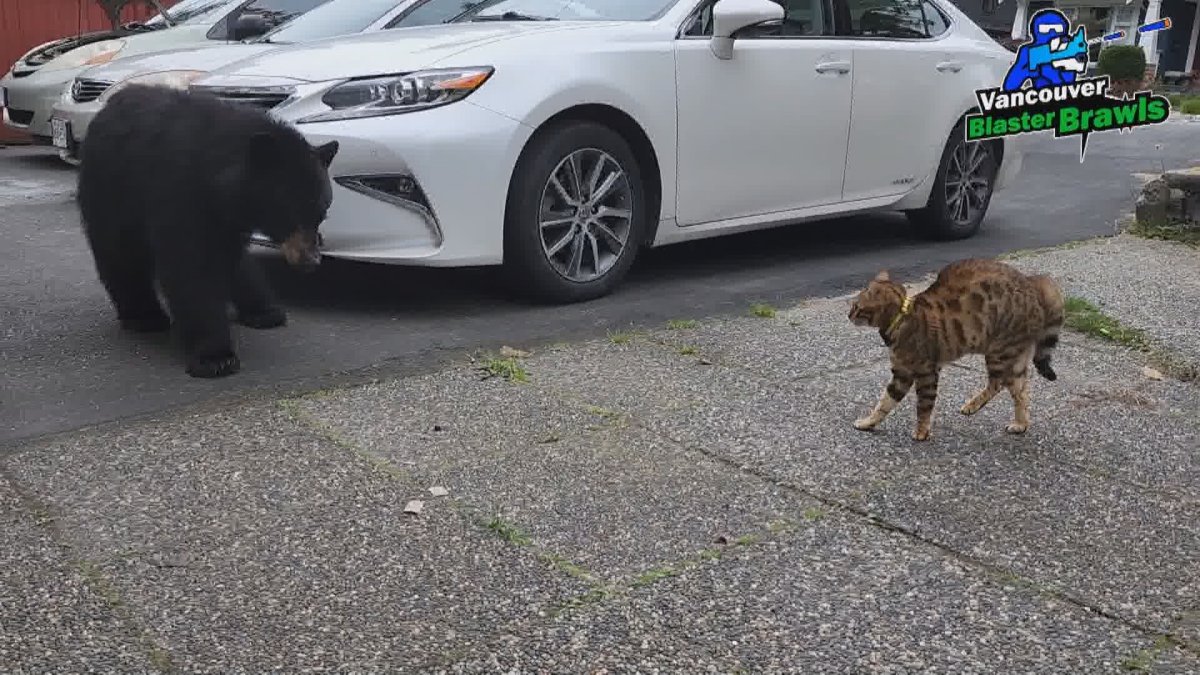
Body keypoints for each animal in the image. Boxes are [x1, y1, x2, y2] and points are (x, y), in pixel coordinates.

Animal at [76, 82, 338, 379]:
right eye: (290, 212)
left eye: (321, 213)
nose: (311, 260)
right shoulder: (179, 192)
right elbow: (191, 268)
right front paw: (215, 357)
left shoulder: (229, 218)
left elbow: (228, 260)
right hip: (110, 194)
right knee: (119, 254)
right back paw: (143, 316)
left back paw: (263, 310)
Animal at [849, 254, 1065, 439]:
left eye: (856, 307)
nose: (848, 315)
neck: (902, 317)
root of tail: (1031, 284)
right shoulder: (902, 373)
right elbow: (885, 402)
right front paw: (869, 422)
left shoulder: (926, 372)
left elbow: (924, 406)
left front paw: (922, 431)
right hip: (1015, 358)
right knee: (1020, 392)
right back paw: (1020, 423)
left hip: (999, 351)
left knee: (998, 383)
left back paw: (975, 406)